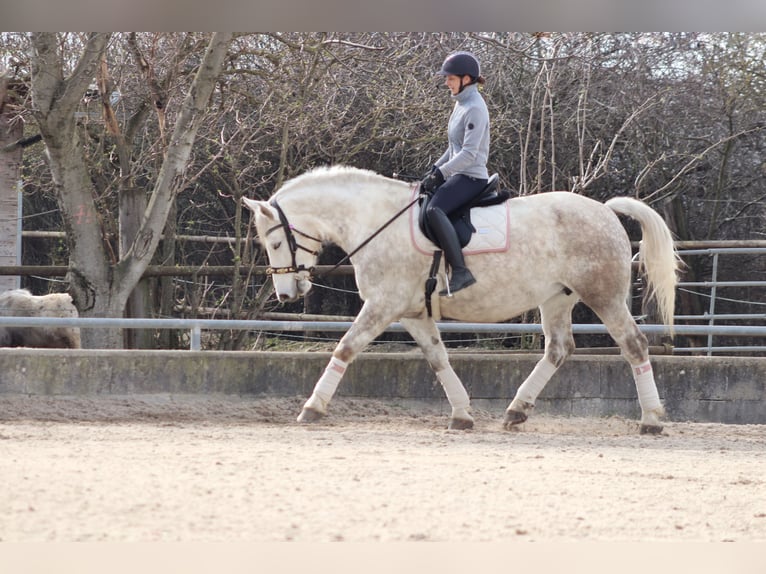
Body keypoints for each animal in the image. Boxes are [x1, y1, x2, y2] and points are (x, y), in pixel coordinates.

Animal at [243, 164, 680, 434]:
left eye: (276, 242)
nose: (286, 294)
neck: (376, 221)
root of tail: (606, 211)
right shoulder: (413, 312)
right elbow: (438, 358)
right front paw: (462, 415)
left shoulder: (383, 304)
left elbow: (345, 348)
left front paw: (312, 408)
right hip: (557, 298)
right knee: (558, 349)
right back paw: (516, 411)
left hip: (604, 296)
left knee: (634, 346)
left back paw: (652, 420)